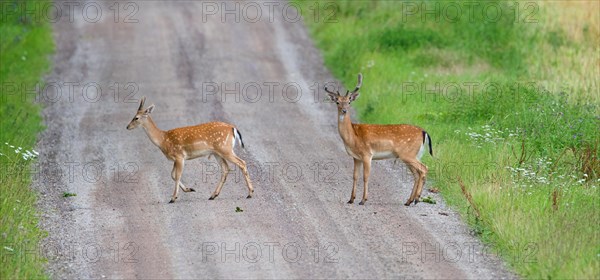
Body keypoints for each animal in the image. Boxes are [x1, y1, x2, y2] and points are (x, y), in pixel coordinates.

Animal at [326, 74, 434, 206]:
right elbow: (355, 176)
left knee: (424, 169)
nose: (344, 110)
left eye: (349, 101)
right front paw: (351, 199)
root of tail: (424, 132)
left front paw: (363, 200)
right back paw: (409, 201)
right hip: (412, 155)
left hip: (408, 154)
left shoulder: (367, 154)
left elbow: (365, 176)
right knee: (417, 174)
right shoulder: (356, 157)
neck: (353, 136)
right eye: (337, 102)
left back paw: (417, 199)